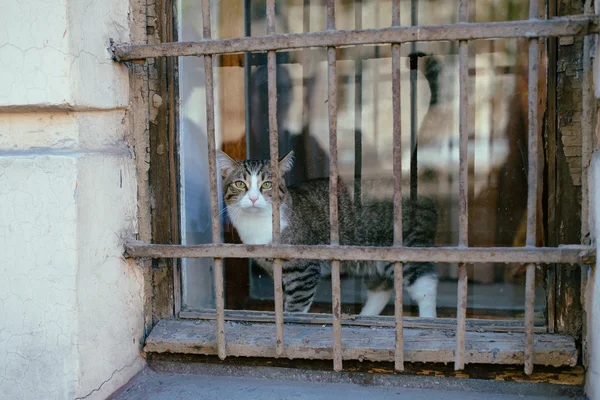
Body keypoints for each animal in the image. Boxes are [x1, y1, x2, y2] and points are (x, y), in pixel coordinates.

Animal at [216, 148, 436, 318]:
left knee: (426, 288)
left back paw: (427, 321)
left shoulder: (303, 271)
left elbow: (295, 307)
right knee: (381, 289)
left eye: (267, 184)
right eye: (240, 184)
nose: (253, 198)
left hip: (406, 247)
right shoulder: (275, 269)